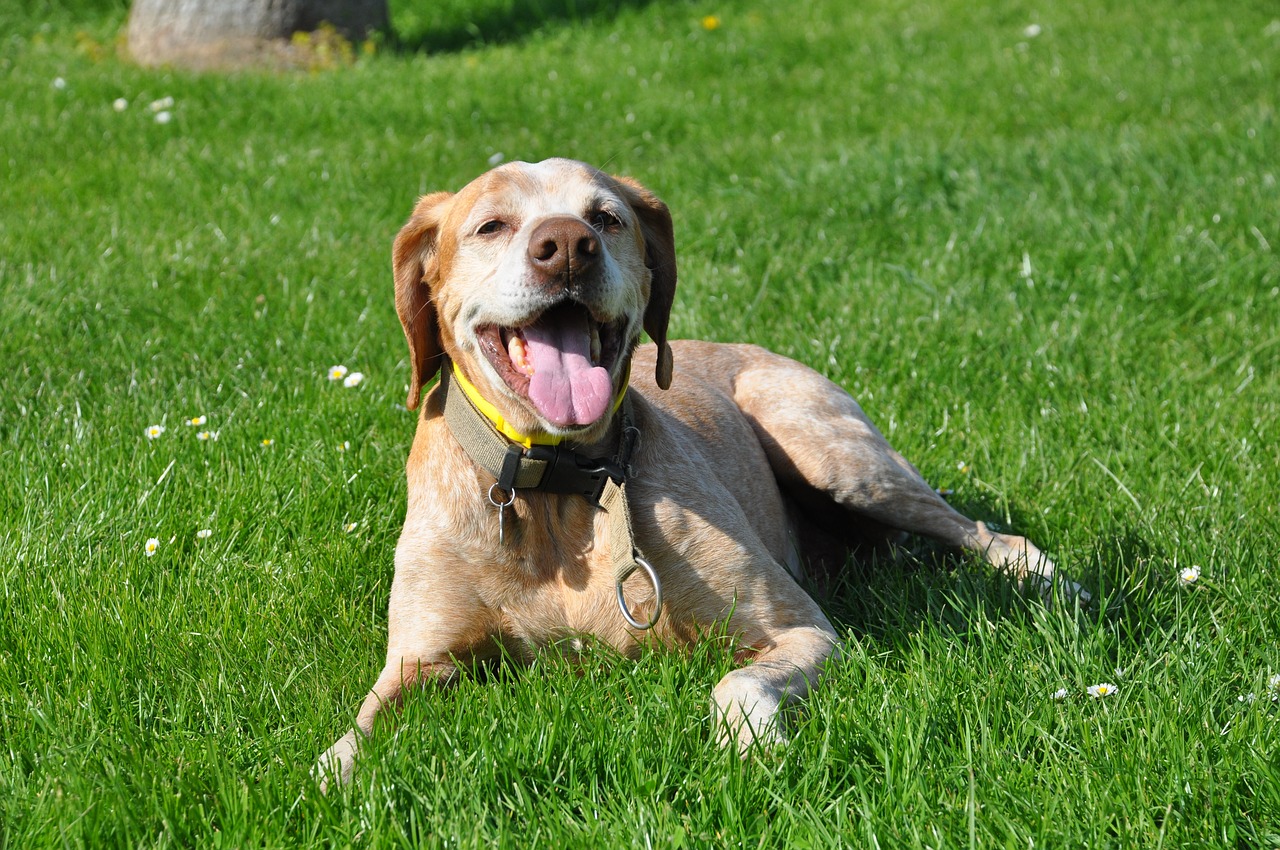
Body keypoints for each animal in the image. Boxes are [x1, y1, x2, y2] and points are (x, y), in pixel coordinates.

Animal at [312, 161, 1070, 788]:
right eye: (490, 225)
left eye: (606, 218)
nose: (568, 245)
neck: (559, 487)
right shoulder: (418, 662)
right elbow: (351, 736)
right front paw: (332, 776)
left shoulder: (800, 628)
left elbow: (736, 684)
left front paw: (753, 746)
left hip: (832, 452)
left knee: (982, 531)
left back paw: (1049, 582)